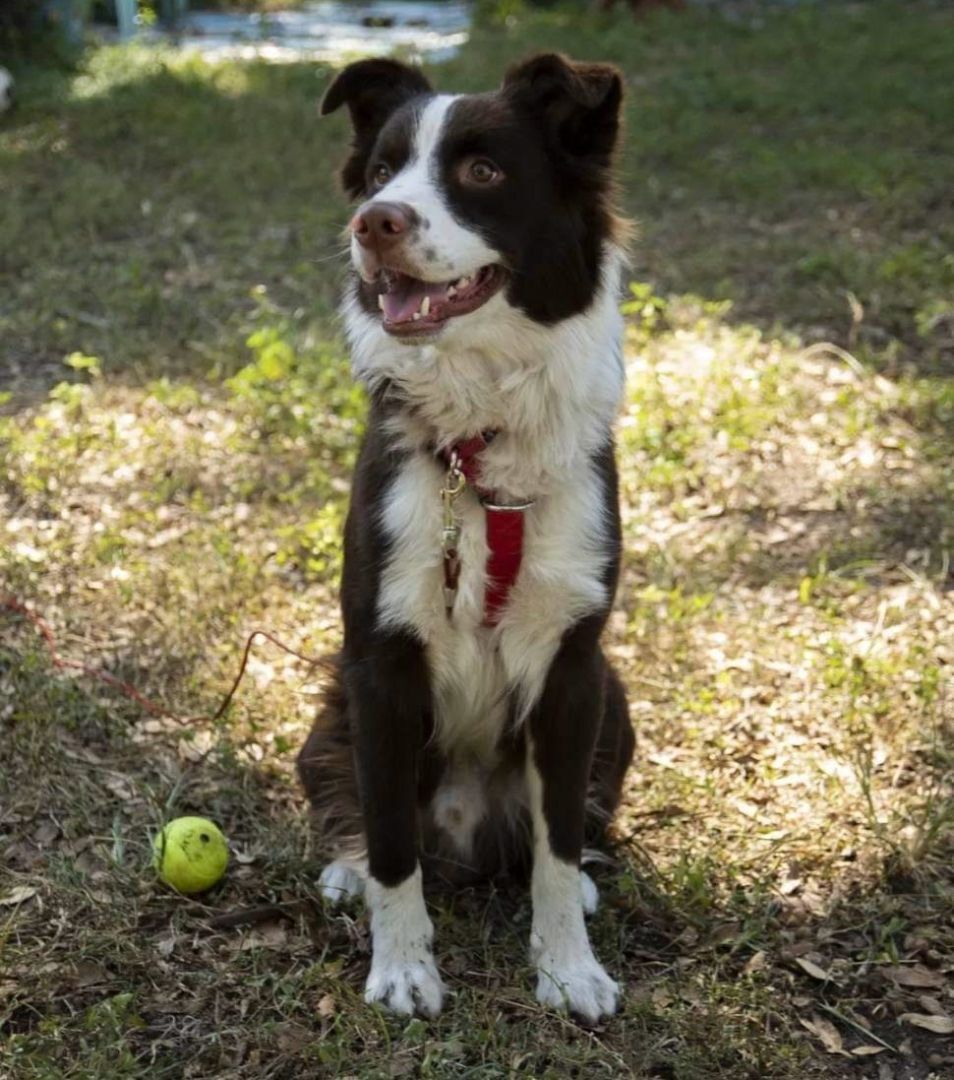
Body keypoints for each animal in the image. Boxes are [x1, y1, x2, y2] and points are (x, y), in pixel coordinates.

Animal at [298, 54, 639, 1023]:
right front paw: (404, 966)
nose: (374, 223)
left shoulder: (573, 666)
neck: (479, 444)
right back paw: (346, 873)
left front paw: (567, 967)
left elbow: (555, 847)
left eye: (483, 171)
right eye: (381, 171)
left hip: (618, 700)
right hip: (330, 710)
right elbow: (388, 842)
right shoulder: (379, 663)